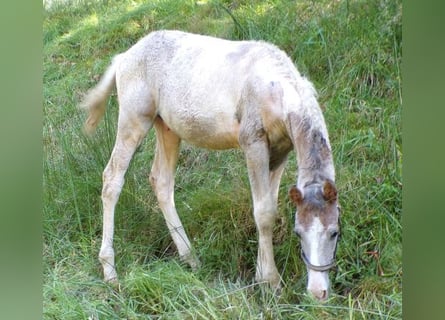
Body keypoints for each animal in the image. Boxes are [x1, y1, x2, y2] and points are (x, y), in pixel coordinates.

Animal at [80, 29, 340, 300]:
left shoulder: (280, 152)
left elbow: (270, 207)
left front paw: (262, 274)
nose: (318, 292)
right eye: (298, 232)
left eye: (335, 232)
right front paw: (271, 282)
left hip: (168, 128)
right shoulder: (253, 143)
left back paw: (191, 259)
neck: (277, 89)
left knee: (161, 181)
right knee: (112, 179)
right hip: (134, 120)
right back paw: (110, 272)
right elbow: (263, 213)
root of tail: (124, 57)